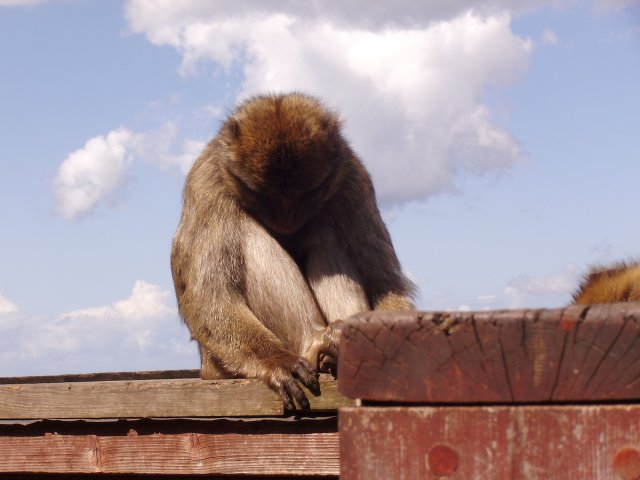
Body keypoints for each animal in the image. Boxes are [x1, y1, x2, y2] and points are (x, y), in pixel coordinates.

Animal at [171, 92, 415, 410]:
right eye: (266, 196)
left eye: (304, 193)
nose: (286, 218)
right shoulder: (207, 182)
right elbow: (208, 297)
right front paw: (276, 361)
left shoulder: (353, 179)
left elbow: (383, 282)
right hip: (216, 366)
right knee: (249, 232)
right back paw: (313, 343)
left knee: (324, 231)